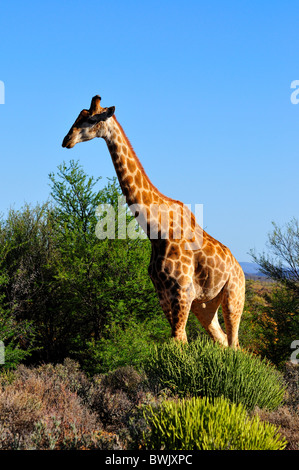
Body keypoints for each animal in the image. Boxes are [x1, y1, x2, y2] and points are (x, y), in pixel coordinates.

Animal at [61, 95, 246, 346]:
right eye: (78, 116)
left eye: (91, 119)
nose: (66, 140)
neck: (155, 230)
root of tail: (240, 269)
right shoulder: (164, 296)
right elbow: (178, 341)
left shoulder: (182, 293)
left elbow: (179, 343)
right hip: (205, 305)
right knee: (224, 341)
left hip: (233, 297)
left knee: (234, 343)